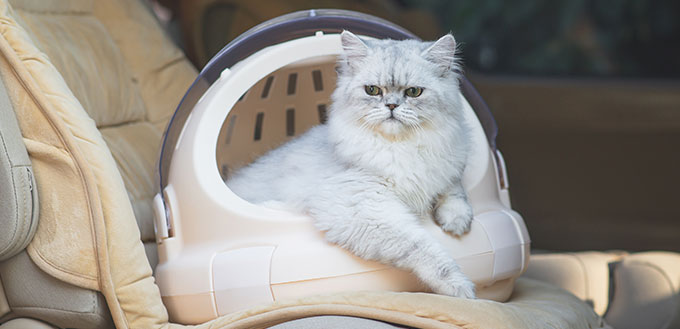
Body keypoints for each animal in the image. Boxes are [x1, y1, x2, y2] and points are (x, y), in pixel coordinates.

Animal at [226, 30, 476, 298]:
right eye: (372, 90)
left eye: (413, 92)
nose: (391, 106)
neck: (399, 147)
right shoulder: (366, 211)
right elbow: (423, 248)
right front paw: (461, 288)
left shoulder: (446, 165)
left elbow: (454, 190)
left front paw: (456, 223)